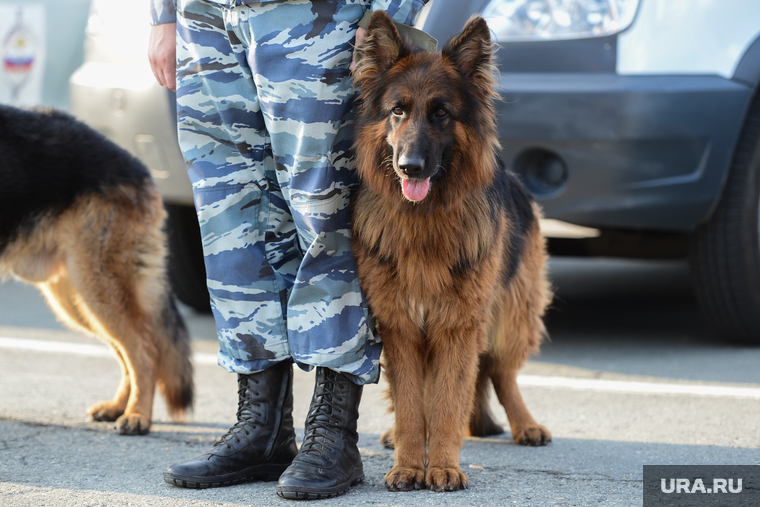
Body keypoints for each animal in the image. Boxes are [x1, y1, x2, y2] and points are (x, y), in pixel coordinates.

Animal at [0, 105, 194, 434]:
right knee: (129, 351)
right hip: (81, 302)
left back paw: (137, 415)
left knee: (144, 352)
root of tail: (137, 166)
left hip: (98, 290)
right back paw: (118, 407)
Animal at [350, 10, 552, 492]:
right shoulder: (401, 326)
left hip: (510, 315)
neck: (424, 223)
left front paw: (442, 465)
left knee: (501, 372)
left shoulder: (459, 325)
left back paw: (525, 425)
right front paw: (408, 464)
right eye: (398, 111)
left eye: (441, 113)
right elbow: (411, 403)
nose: (410, 168)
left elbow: (447, 402)